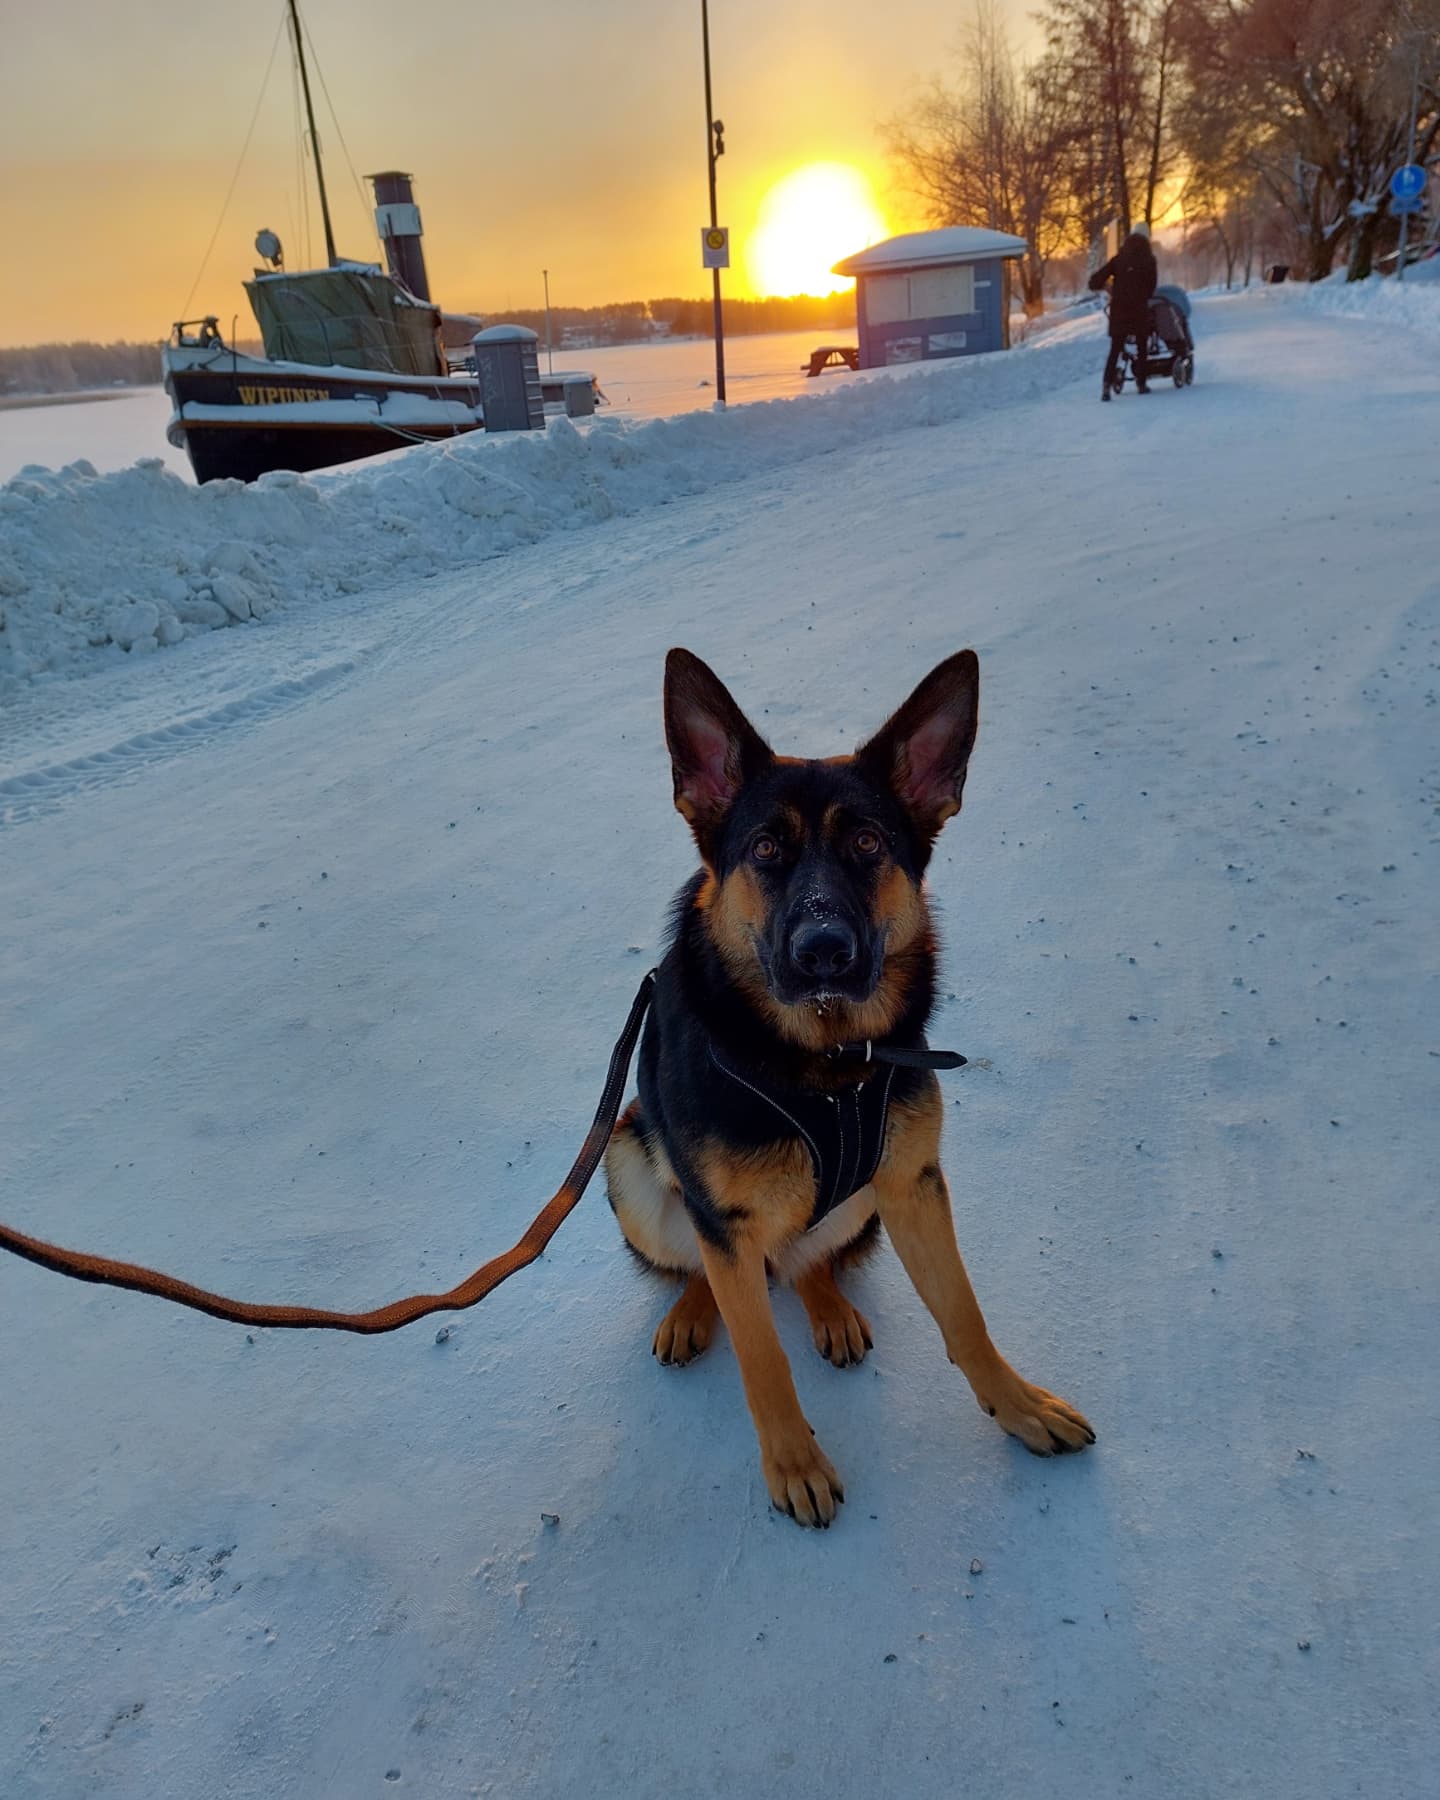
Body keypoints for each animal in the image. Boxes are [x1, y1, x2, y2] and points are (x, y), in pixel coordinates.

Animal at [604, 655, 1094, 1526]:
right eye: (765, 848)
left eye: (867, 843)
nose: (824, 950)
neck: (825, 1063)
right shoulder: (723, 1221)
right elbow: (762, 1361)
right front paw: (794, 1465)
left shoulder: (912, 1184)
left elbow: (965, 1316)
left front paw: (1019, 1407)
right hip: (627, 1162)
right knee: (704, 1265)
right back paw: (693, 1311)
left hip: (860, 1202)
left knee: (806, 1260)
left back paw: (826, 1305)